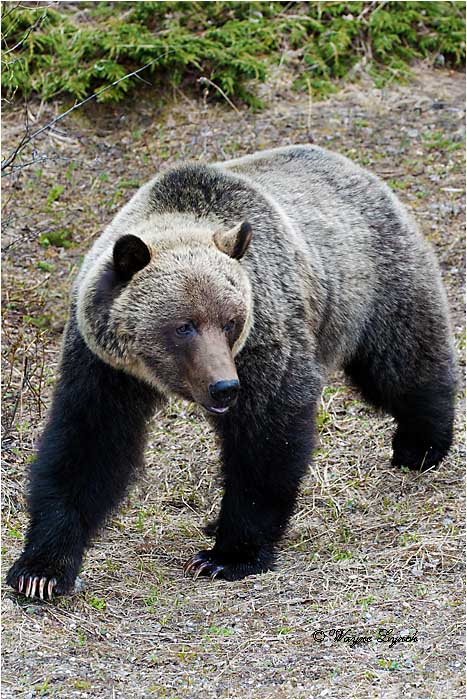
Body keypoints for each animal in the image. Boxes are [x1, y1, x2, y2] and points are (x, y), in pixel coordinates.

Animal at [7, 145, 457, 600]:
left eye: (230, 321)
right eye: (183, 325)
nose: (224, 387)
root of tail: (354, 168)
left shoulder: (264, 341)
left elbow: (266, 437)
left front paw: (227, 555)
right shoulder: (104, 364)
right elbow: (88, 444)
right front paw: (41, 570)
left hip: (372, 284)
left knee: (402, 361)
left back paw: (420, 445)